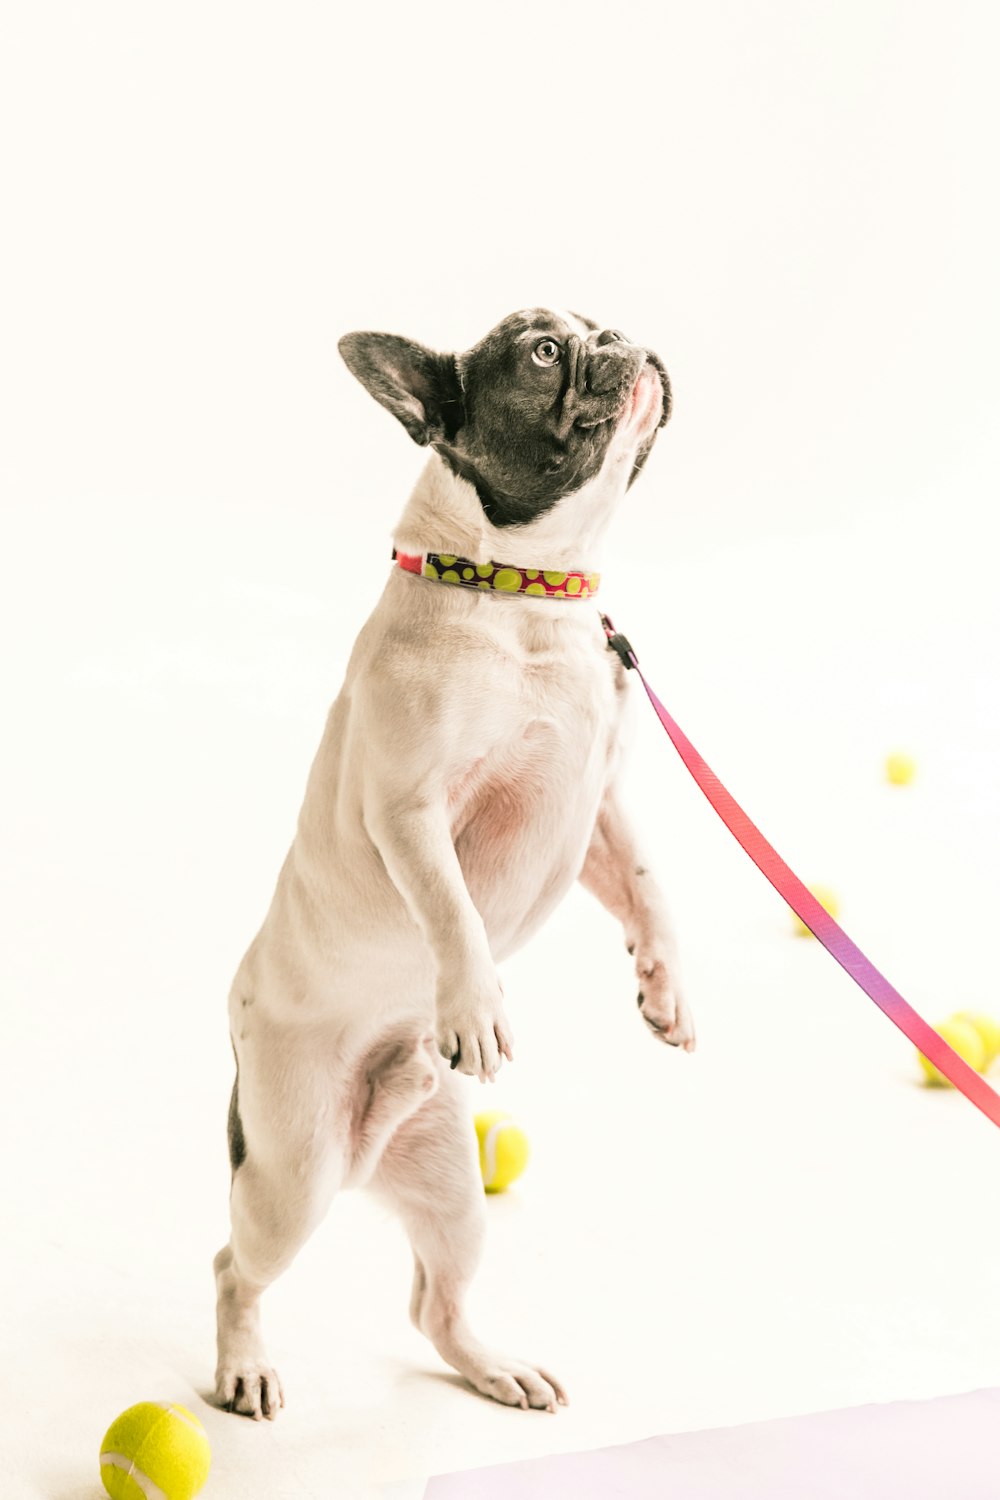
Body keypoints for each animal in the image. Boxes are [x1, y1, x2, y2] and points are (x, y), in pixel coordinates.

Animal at [212, 304, 695, 1416]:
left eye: (587, 325)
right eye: (543, 352)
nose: (616, 333)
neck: (526, 595)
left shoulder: (597, 804)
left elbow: (648, 885)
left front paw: (665, 985)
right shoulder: (410, 807)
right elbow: (450, 908)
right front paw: (473, 1001)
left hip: (448, 1182)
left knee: (435, 1302)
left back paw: (493, 1364)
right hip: (291, 1173)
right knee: (233, 1265)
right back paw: (243, 1363)